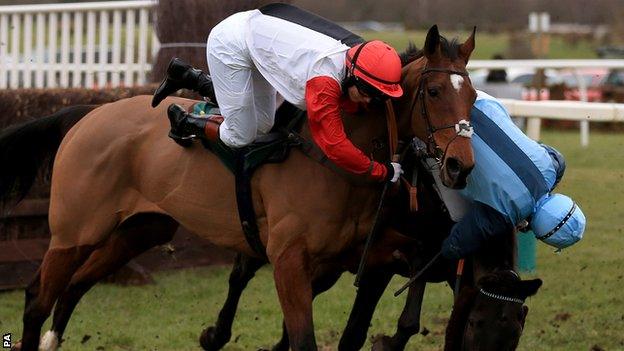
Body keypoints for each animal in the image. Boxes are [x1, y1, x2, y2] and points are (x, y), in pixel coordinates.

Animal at [2, 25, 476, 351]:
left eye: (472, 96)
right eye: (434, 91)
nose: (461, 165)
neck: (332, 157)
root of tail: (86, 114)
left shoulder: (359, 254)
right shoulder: (289, 261)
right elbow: (301, 337)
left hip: (140, 230)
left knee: (75, 287)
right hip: (74, 231)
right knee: (37, 297)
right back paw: (179, 105)